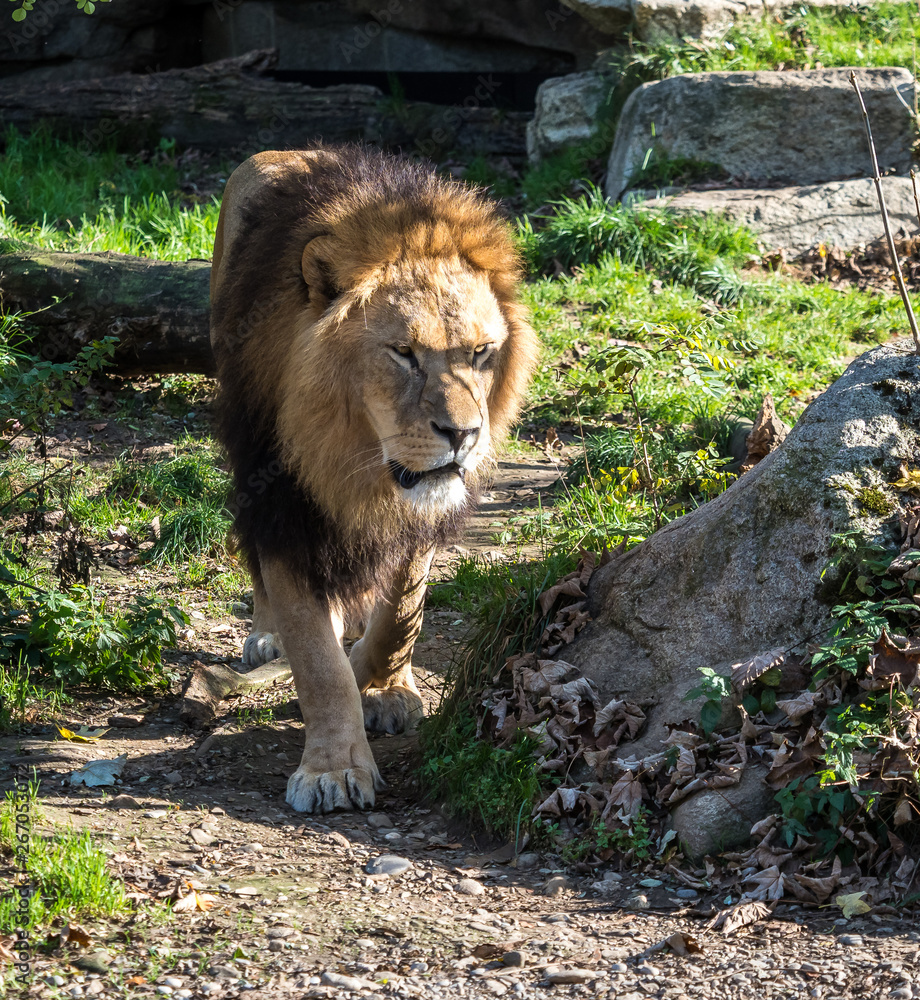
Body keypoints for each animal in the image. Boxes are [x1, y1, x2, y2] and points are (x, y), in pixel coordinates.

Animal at [210, 145, 539, 813]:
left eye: (482, 352)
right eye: (403, 353)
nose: (463, 435)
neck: (353, 457)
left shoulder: (419, 505)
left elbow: (401, 611)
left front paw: (382, 684)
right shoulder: (283, 503)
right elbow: (318, 659)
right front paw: (334, 767)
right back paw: (268, 635)